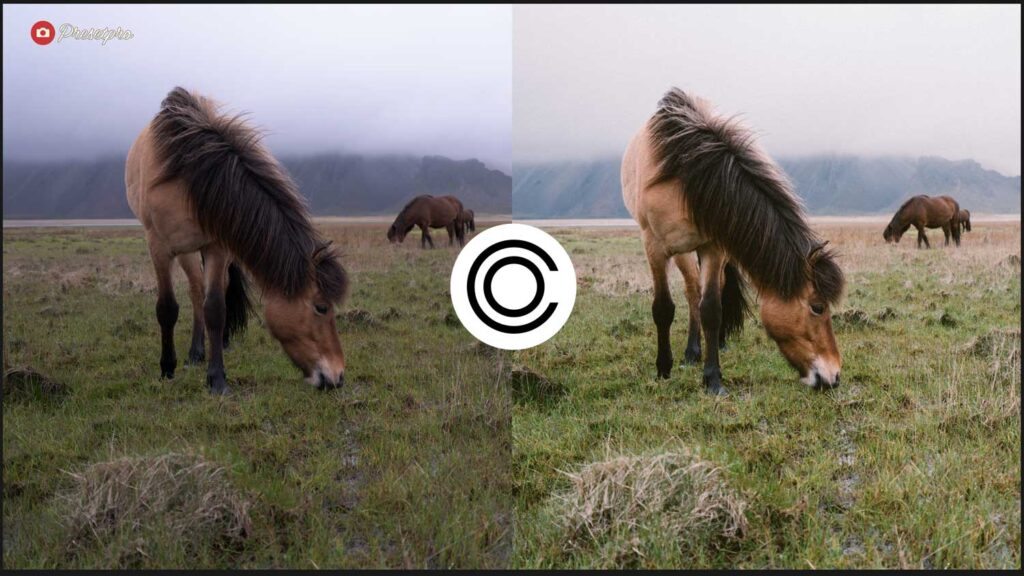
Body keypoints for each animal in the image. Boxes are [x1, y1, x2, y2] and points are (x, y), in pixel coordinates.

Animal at [126, 87, 349, 395]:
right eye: (321, 307)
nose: (338, 376)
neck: (190, 178)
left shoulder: (218, 247)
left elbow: (216, 308)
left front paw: (217, 378)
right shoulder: (158, 247)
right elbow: (167, 308)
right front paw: (167, 368)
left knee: (208, 293)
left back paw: (216, 345)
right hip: (183, 251)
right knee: (195, 291)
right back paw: (194, 353)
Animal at [622, 88, 845, 395]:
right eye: (817, 307)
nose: (834, 376)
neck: (688, 177)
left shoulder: (715, 247)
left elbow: (712, 308)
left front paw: (713, 378)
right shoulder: (654, 247)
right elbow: (663, 308)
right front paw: (663, 369)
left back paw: (714, 345)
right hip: (679, 251)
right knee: (691, 291)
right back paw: (691, 352)